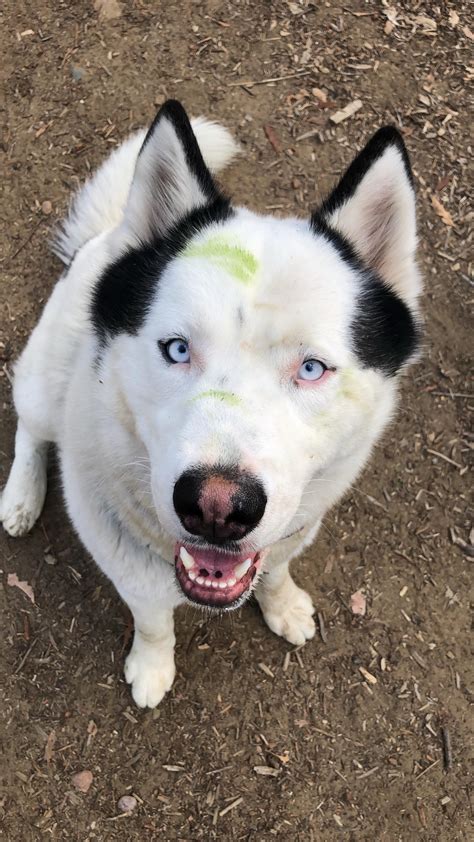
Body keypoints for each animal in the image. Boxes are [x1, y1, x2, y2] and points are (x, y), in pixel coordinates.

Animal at [0, 98, 422, 704]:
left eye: (312, 368)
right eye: (176, 349)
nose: (217, 508)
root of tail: (110, 238)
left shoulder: (294, 530)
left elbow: (275, 570)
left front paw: (283, 604)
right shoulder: (127, 565)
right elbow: (153, 619)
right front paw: (152, 666)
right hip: (42, 381)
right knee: (31, 428)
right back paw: (21, 496)